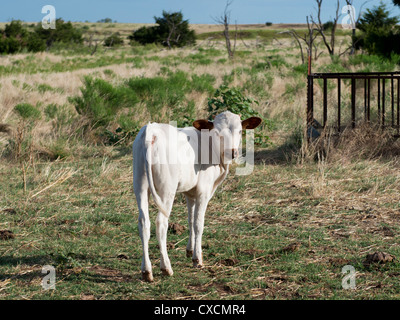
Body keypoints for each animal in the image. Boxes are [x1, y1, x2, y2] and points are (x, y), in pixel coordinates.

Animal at [133, 111, 260, 282]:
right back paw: (166, 267)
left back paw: (146, 271)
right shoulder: (203, 191)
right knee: (161, 223)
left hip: (139, 184)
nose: (232, 152)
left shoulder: (190, 192)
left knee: (143, 223)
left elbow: (191, 220)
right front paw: (197, 258)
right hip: (167, 189)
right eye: (217, 133)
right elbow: (199, 223)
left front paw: (189, 250)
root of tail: (151, 130)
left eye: (240, 131)